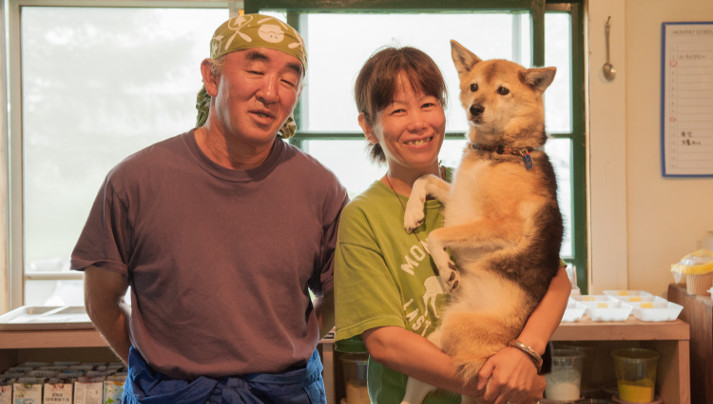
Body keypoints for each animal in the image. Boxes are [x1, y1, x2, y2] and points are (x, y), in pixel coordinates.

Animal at [400, 38, 560, 404]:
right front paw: (413, 212)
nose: (475, 109)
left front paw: (446, 268)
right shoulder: (458, 200)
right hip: (436, 343)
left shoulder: (502, 226)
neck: (498, 153)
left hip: (455, 334)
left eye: (503, 90)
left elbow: (438, 235)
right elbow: (424, 180)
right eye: (474, 87)